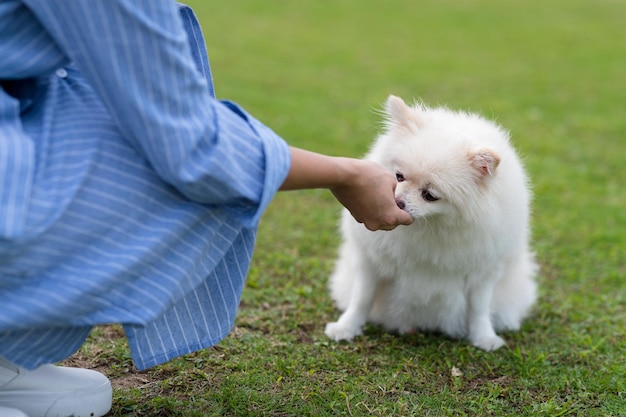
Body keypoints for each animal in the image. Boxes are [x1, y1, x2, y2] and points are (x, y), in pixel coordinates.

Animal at [322, 96, 536, 350]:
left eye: (430, 195)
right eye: (399, 176)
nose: (398, 202)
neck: (431, 226)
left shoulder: (483, 271)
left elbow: (479, 309)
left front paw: (484, 337)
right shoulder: (372, 261)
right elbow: (361, 298)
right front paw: (346, 327)